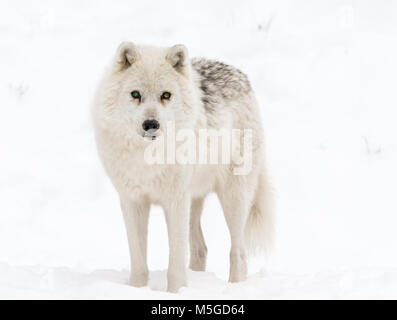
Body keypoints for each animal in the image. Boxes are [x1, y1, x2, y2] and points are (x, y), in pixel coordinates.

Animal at [91, 42, 274, 292]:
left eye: (166, 95)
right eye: (135, 94)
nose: (151, 124)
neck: (147, 157)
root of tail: (240, 75)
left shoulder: (175, 201)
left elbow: (175, 262)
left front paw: (176, 292)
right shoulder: (132, 201)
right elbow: (139, 260)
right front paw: (137, 289)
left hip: (233, 199)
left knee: (238, 253)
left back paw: (235, 287)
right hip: (194, 201)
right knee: (200, 249)